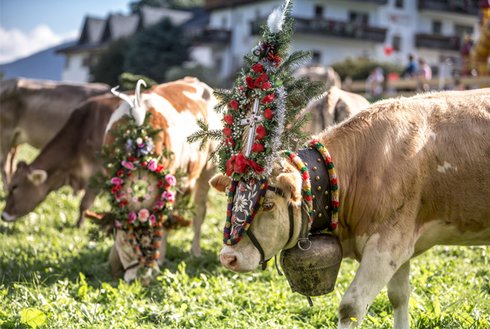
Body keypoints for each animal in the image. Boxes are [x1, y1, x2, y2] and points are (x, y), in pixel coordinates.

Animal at [103, 77, 222, 282]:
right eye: (127, 239)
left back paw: (195, 252)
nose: (140, 278)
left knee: (199, 211)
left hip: (208, 168)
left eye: (151, 238)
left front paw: (157, 262)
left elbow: (163, 221)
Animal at [211, 88, 490, 328]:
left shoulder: (387, 244)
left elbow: (351, 307)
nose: (228, 258)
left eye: (268, 204)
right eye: (231, 200)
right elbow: (399, 296)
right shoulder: (401, 245)